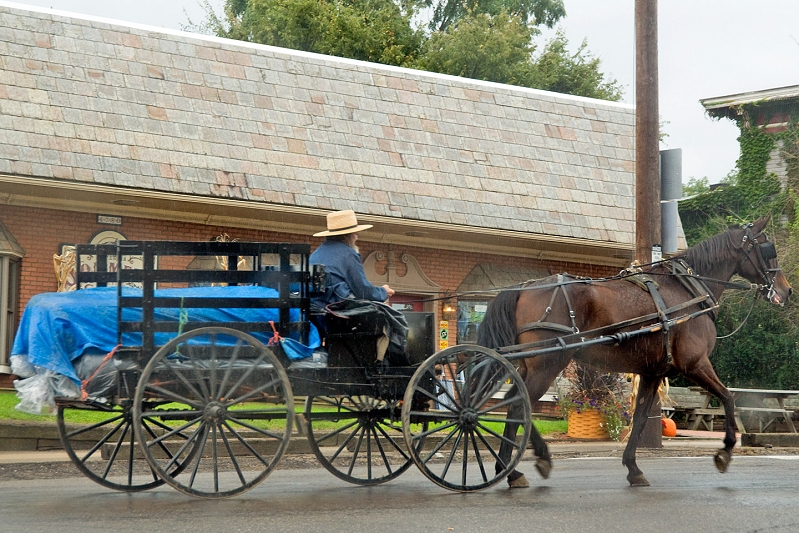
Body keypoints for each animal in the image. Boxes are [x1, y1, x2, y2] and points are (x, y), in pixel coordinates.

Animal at [478, 216, 792, 486]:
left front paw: (633, 467)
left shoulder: (653, 372)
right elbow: (728, 398)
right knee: (519, 406)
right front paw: (725, 452)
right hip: (548, 363)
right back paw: (523, 465)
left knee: (514, 402)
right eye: (767, 248)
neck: (688, 290)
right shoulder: (695, 363)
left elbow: (640, 418)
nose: (786, 290)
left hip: (529, 365)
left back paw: (510, 468)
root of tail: (525, 287)